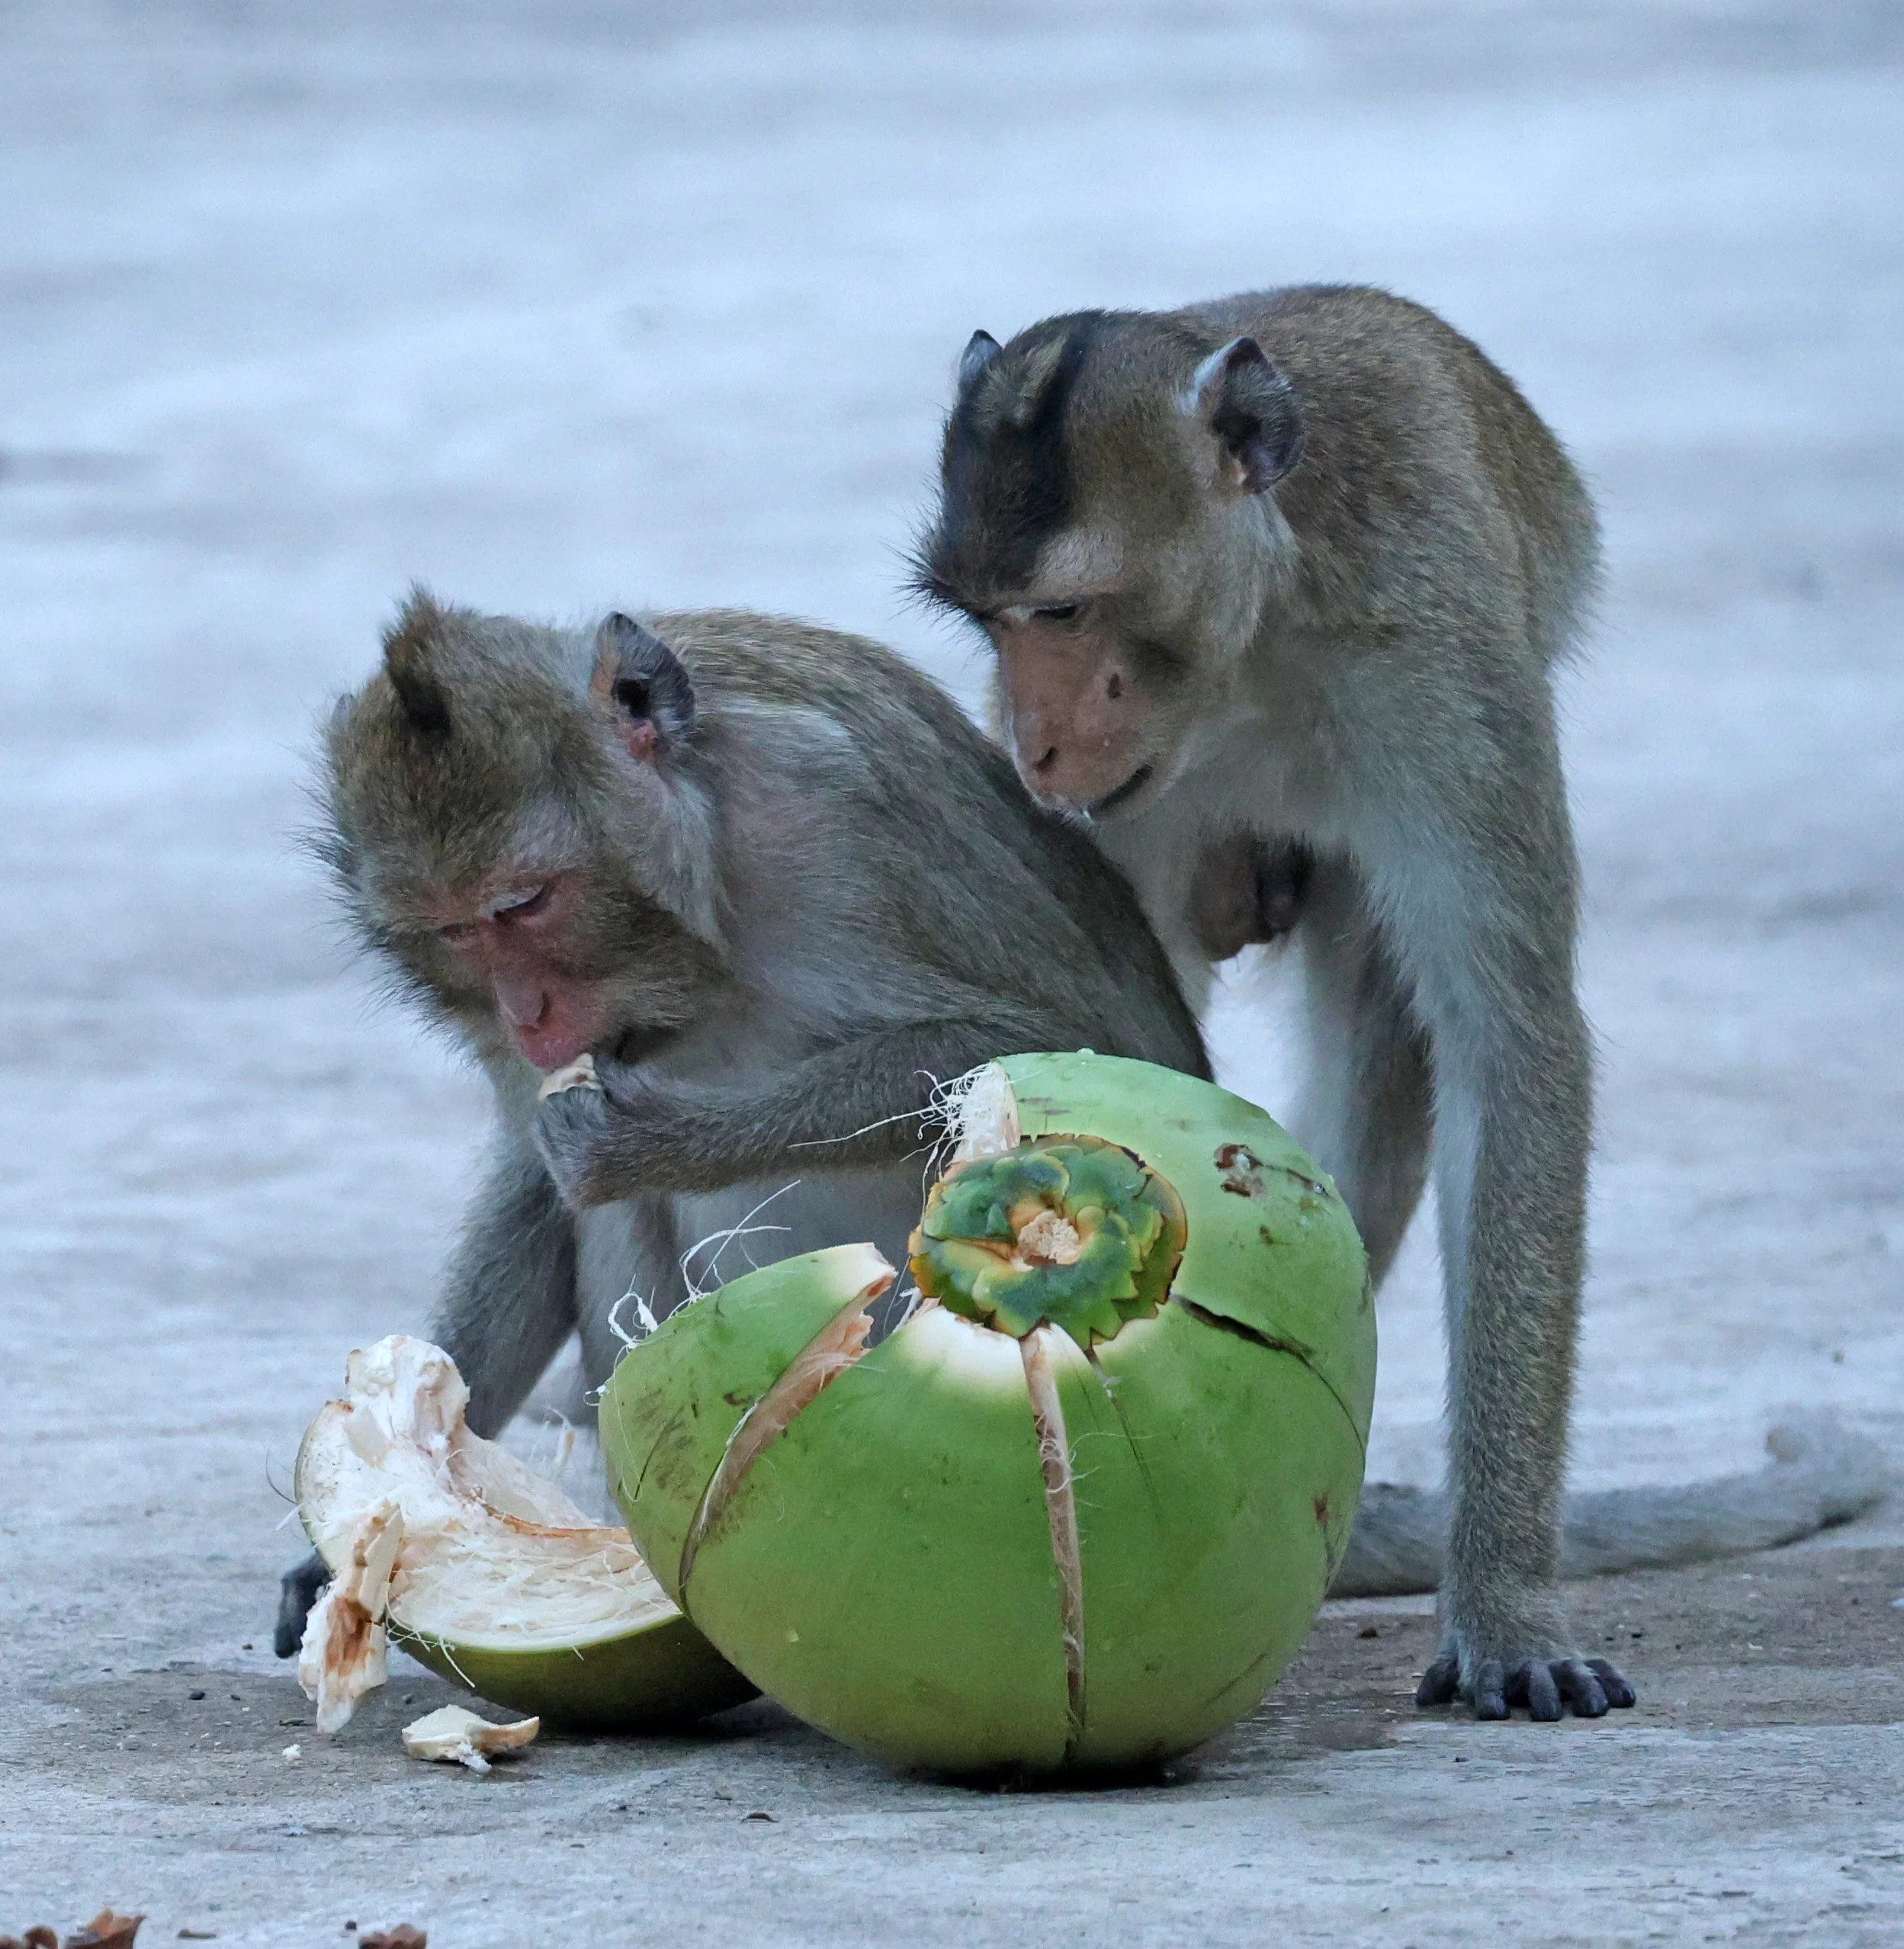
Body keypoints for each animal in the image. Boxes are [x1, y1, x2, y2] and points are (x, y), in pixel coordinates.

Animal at [274, 589, 1210, 1656]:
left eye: (524, 903)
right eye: (452, 931)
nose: (526, 1016)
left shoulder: (835, 814)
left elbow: (1069, 1048)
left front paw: (645, 1139)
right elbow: (536, 1176)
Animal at [911, 285, 1885, 1721]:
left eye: (1068, 609)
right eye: (990, 622)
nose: (1033, 742)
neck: (1254, 654)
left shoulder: (1441, 677)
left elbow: (1508, 1037)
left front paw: (1502, 1605)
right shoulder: (1126, 809)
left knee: (1389, 1050)